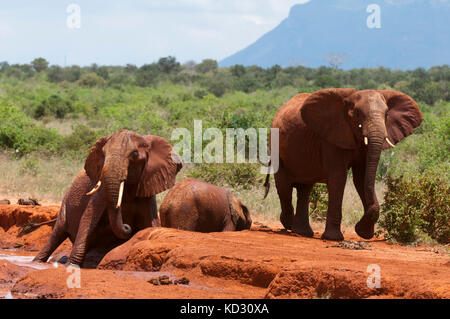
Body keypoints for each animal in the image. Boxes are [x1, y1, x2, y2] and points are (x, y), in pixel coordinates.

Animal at [33, 130, 183, 268]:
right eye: (103, 154)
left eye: (134, 154)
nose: (128, 227)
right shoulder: (99, 192)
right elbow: (87, 220)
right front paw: (72, 266)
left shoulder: (147, 189)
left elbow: (151, 225)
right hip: (65, 203)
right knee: (57, 233)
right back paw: (37, 262)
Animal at [264, 89, 422, 241]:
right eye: (357, 114)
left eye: (387, 113)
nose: (360, 227)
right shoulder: (331, 139)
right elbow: (338, 178)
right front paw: (334, 238)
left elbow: (361, 178)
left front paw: (363, 232)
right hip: (276, 148)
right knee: (284, 187)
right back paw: (288, 223)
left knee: (305, 188)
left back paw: (302, 232)